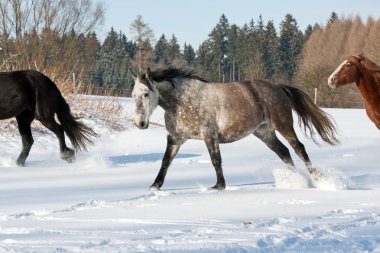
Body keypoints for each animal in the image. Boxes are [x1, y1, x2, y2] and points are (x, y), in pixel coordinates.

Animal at [131, 67, 338, 190]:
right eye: (133, 94)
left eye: (146, 93)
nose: (139, 123)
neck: (183, 102)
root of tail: (278, 87)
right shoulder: (175, 138)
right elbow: (166, 161)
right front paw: (155, 186)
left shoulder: (209, 136)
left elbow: (216, 160)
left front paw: (219, 186)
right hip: (264, 132)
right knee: (284, 152)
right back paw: (294, 180)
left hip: (283, 125)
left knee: (299, 149)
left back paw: (318, 179)